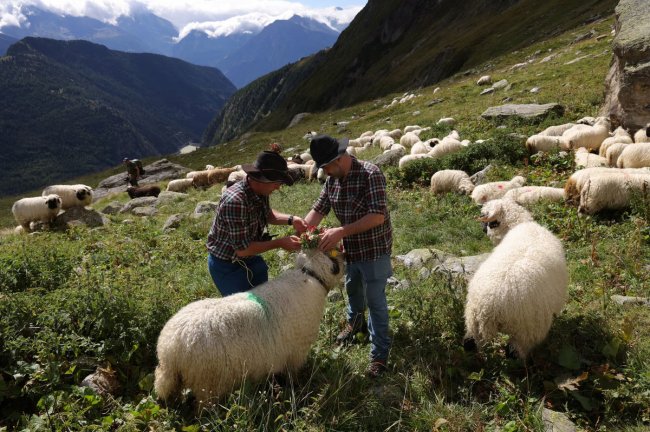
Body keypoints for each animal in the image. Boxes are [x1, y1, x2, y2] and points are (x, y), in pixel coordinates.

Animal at [154, 248, 344, 406]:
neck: (310, 276)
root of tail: (169, 350)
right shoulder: (296, 353)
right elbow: (293, 375)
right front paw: (297, 387)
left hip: (179, 379)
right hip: (208, 383)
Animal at [460, 199, 568, 358]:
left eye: (489, 222)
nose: (482, 229)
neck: (519, 224)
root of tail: (489, 307)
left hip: (473, 321)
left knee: (469, 343)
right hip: (526, 331)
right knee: (513, 353)